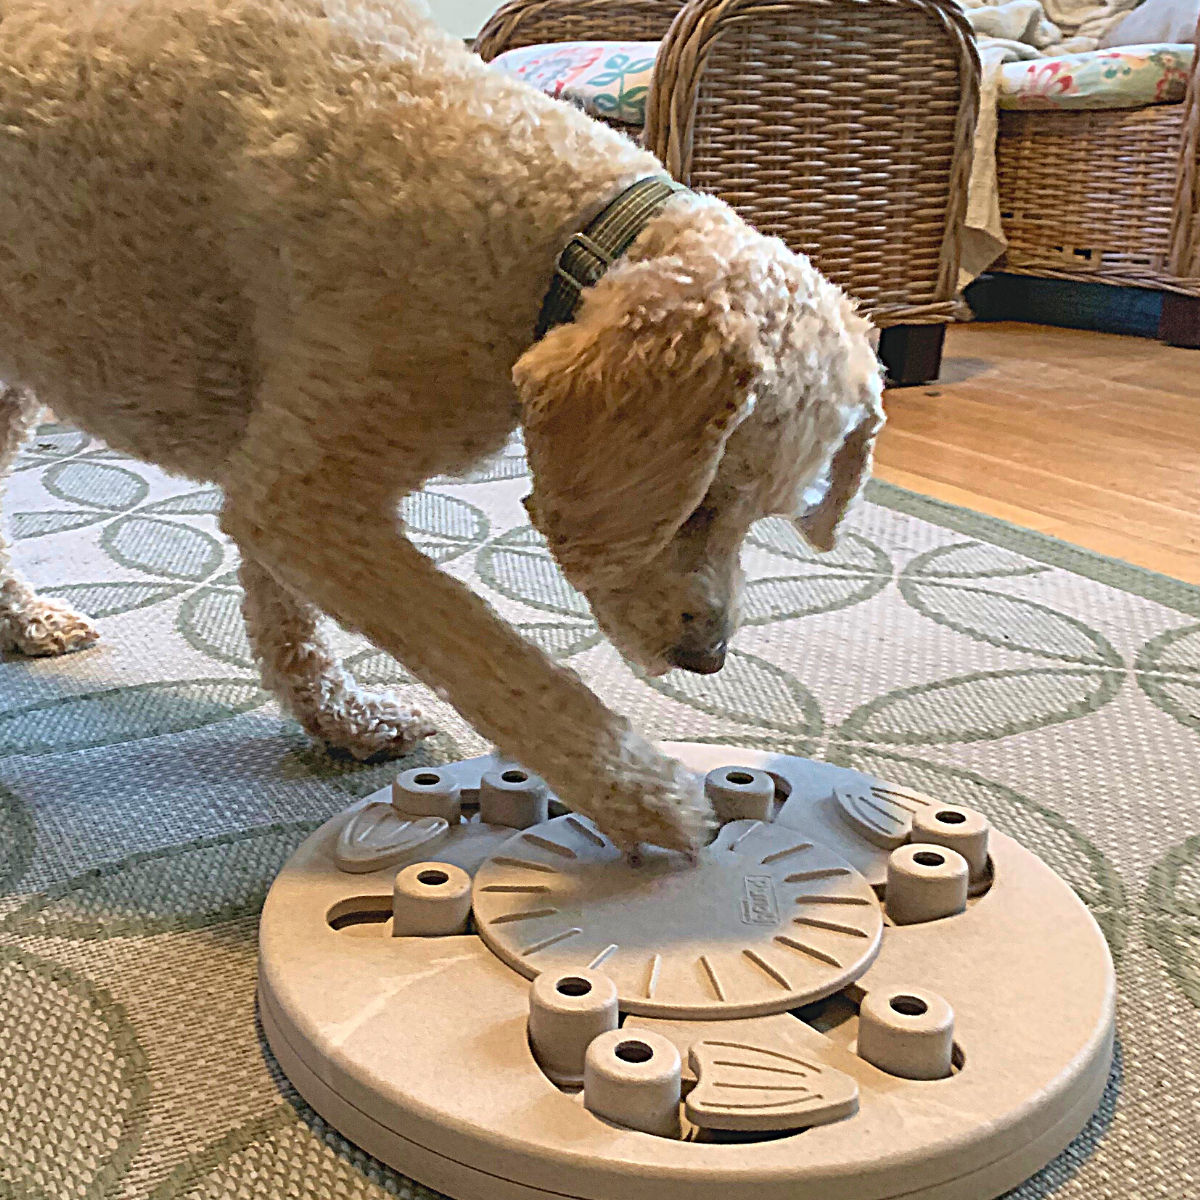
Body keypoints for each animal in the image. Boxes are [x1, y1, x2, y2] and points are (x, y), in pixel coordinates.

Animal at [0, 0, 883, 854]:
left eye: (764, 516)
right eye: (697, 506)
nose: (707, 659)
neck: (546, 226)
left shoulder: (283, 462)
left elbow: (285, 614)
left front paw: (339, 715)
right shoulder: (308, 500)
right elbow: (494, 660)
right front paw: (648, 798)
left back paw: (24, 619)